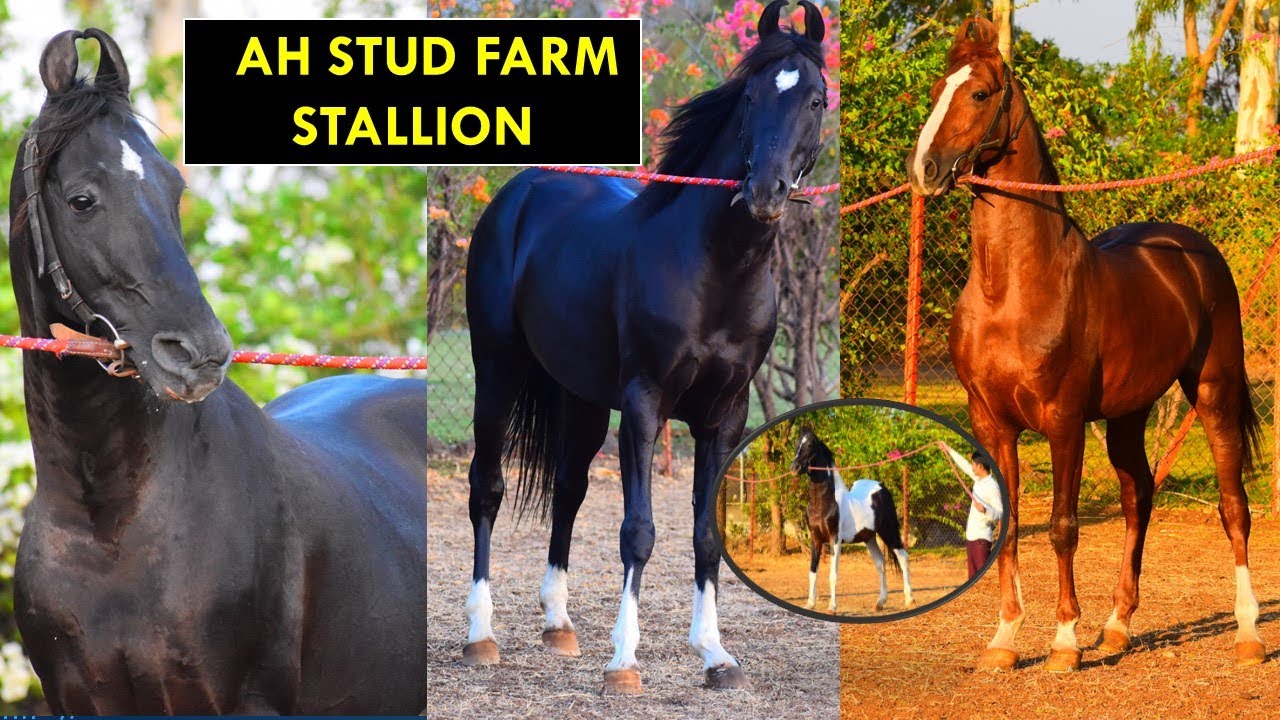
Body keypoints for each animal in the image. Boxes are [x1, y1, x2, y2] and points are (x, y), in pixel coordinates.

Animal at [461, 0, 828, 694]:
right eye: (751, 96)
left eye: (817, 99)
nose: (764, 192)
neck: (715, 265)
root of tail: (518, 195)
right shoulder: (644, 404)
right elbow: (638, 531)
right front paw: (624, 662)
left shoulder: (725, 416)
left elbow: (707, 535)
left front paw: (715, 655)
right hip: (496, 369)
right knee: (486, 488)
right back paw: (480, 634)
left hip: (578, 396)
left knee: (569, 490)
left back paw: (559, 625)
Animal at [790, 426, 912, 613]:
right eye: (797, 443)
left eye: (810, 445)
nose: (794, 467)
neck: (823, 502)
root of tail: (881, 487)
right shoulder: (815, 539)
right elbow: (812, 571)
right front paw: (810, 603)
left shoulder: (835, 539)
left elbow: (833, 574)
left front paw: (832, 607)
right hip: (869, 538)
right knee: (880, 562)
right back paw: (880, 602)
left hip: (888, 531)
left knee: (903, 557)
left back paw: (909, 599)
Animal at [907, 17, 1264, 672]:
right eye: (939, 87)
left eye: (978, 94)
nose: (926, 168)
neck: (1013, 288)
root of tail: (1196, 253)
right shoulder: (992, 422)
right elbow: (1010, 524)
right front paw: (1004, 641)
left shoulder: (1064, 420)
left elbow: (1062, 526)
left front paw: (1064, 642)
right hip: (1127, 415)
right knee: (1137, 496)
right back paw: (1118, 626)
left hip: (1212, 392)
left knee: (1234, 506)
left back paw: (1248, 634)